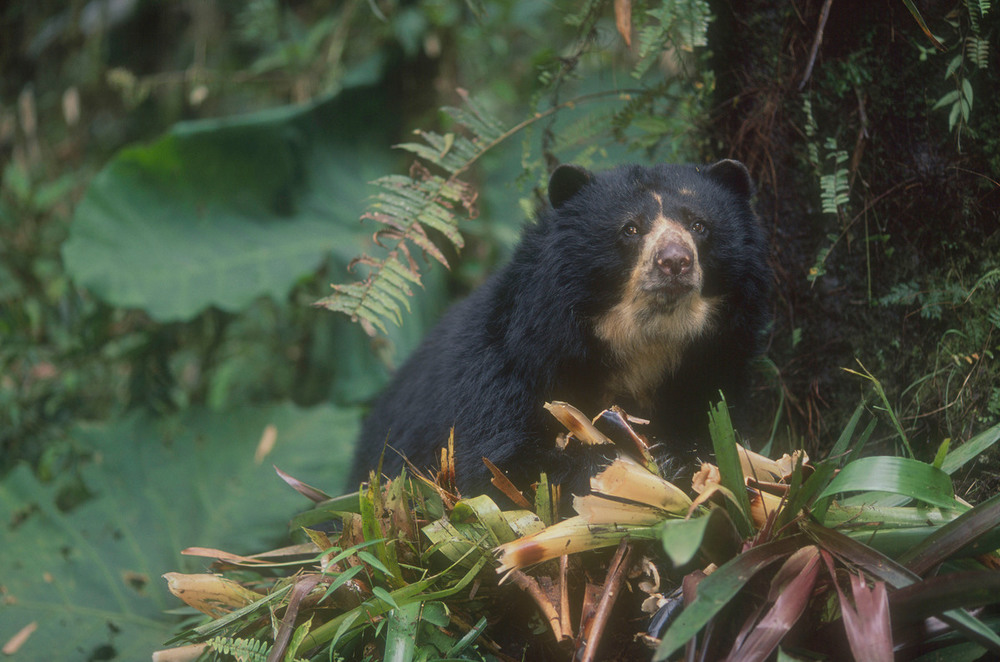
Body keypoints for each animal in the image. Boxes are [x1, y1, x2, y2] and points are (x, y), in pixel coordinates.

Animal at [349, 160, 771, 496]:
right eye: (630, 229)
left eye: (699, 225)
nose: (675, 262)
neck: (644, 343)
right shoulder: (510, 367)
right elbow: (499, 467)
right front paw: (620, 466)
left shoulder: (714, 367)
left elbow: (723, 433)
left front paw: (680, 458)